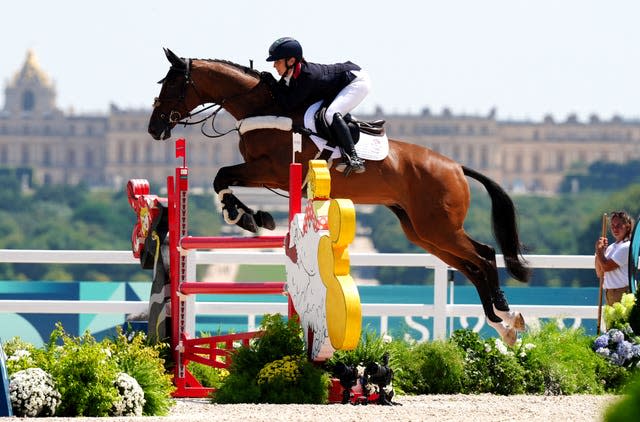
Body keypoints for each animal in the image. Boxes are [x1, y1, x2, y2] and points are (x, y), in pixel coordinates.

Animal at [148, 47, 528, 344]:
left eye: (172, 85)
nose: (154, 128)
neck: (262, 108)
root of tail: (456, 167)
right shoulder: (262, 173)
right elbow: (221, 178)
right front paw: (250, 216)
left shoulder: (269, 169)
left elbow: (221, 176)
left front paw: (247, 216)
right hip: (422, 232)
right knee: (472, 266)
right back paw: (504, 325)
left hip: (439, 227)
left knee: (484, 256)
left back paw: (507, 315)